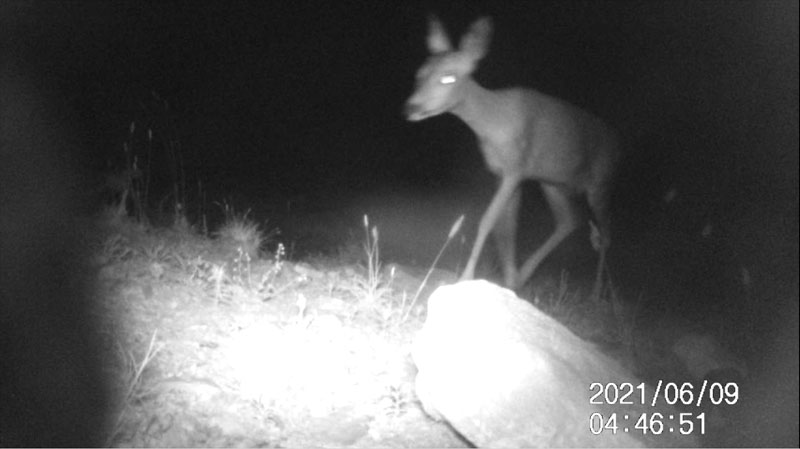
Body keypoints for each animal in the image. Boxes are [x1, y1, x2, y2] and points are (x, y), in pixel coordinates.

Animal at [404, 14, 620, 298]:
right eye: (419, 73)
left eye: (448, 77)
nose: (410, 108)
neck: (492, 123)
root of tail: (619, 143)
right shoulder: (503, 172)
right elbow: (505, 230)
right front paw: (510, 279)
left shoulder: (515, 168)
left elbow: (488, 221)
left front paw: (467, 276)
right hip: (552, 182)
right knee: (569, 220)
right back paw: (526, 274)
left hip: (601, 182)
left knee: (605, 234)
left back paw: (597, 293)